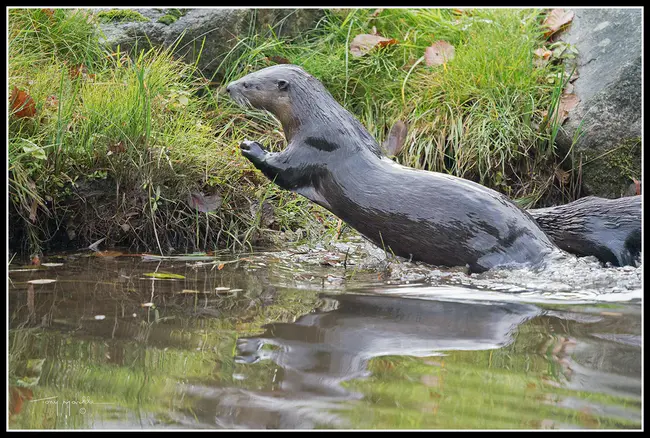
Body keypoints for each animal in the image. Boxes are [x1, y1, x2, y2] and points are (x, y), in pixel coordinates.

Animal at [225, 64, 556, 274]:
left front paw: (250, 145)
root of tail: (536, 239)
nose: (228, 87)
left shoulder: (313, 147)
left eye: (249, 83)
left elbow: (282, 170)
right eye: (247, 73)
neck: (320, 120)